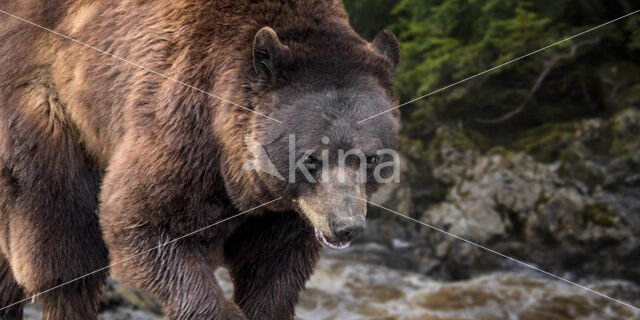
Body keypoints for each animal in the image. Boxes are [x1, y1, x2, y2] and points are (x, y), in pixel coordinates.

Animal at [1, 0, 400, 320]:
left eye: (369, 158)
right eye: (311, 159)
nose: (346, 226)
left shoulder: (284, 213)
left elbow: (274, 271)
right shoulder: (182, 122)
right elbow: (144, 223)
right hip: (48, 107)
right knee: (62, 242)